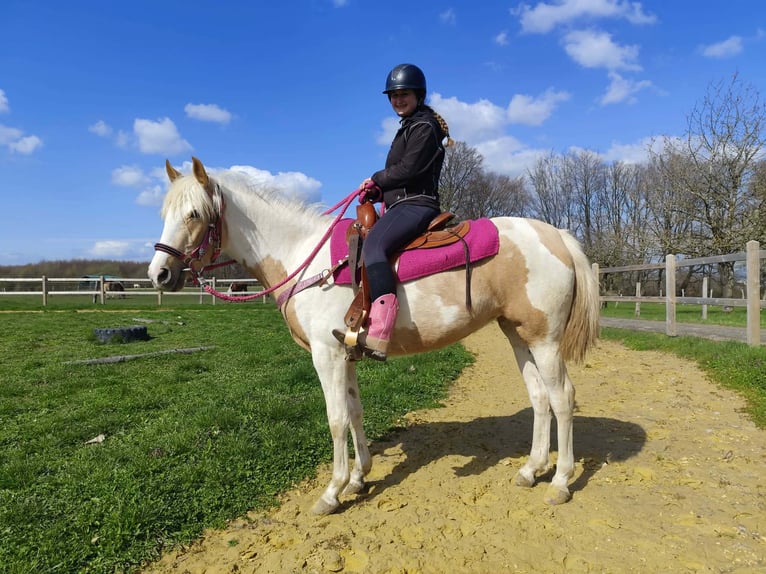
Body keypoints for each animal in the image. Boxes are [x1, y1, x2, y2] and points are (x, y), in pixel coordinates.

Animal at [148, 157, 600, 515]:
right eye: (164, 212)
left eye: (193, 214)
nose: (159, 274)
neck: (304, 258)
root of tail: (558, 236)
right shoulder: (345, 353)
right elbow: (355, 413)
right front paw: (358, 478)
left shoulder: (326, 356)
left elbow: (335, 419)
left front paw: (332, 492)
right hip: (519, 335)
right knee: (540, 398)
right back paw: (531, 470)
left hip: (545, 341)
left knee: (563, 398)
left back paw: (560, 482)